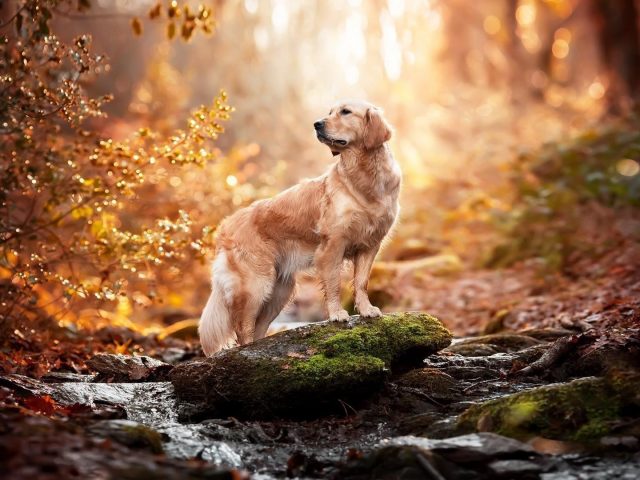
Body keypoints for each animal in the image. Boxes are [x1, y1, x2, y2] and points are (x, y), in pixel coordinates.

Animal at [200, 100, 400, 356]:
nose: (317, 124)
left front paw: (366, 310)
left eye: (345, 112)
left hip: (278, 291)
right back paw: (248, 352)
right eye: (329, 112)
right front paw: (337, 314)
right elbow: (334, 283)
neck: (364, 176)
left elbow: (361, 282)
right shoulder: (333, 244)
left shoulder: (370, 244)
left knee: (257, 326)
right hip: (256, 285)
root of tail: (225, 226)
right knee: (242, 327)